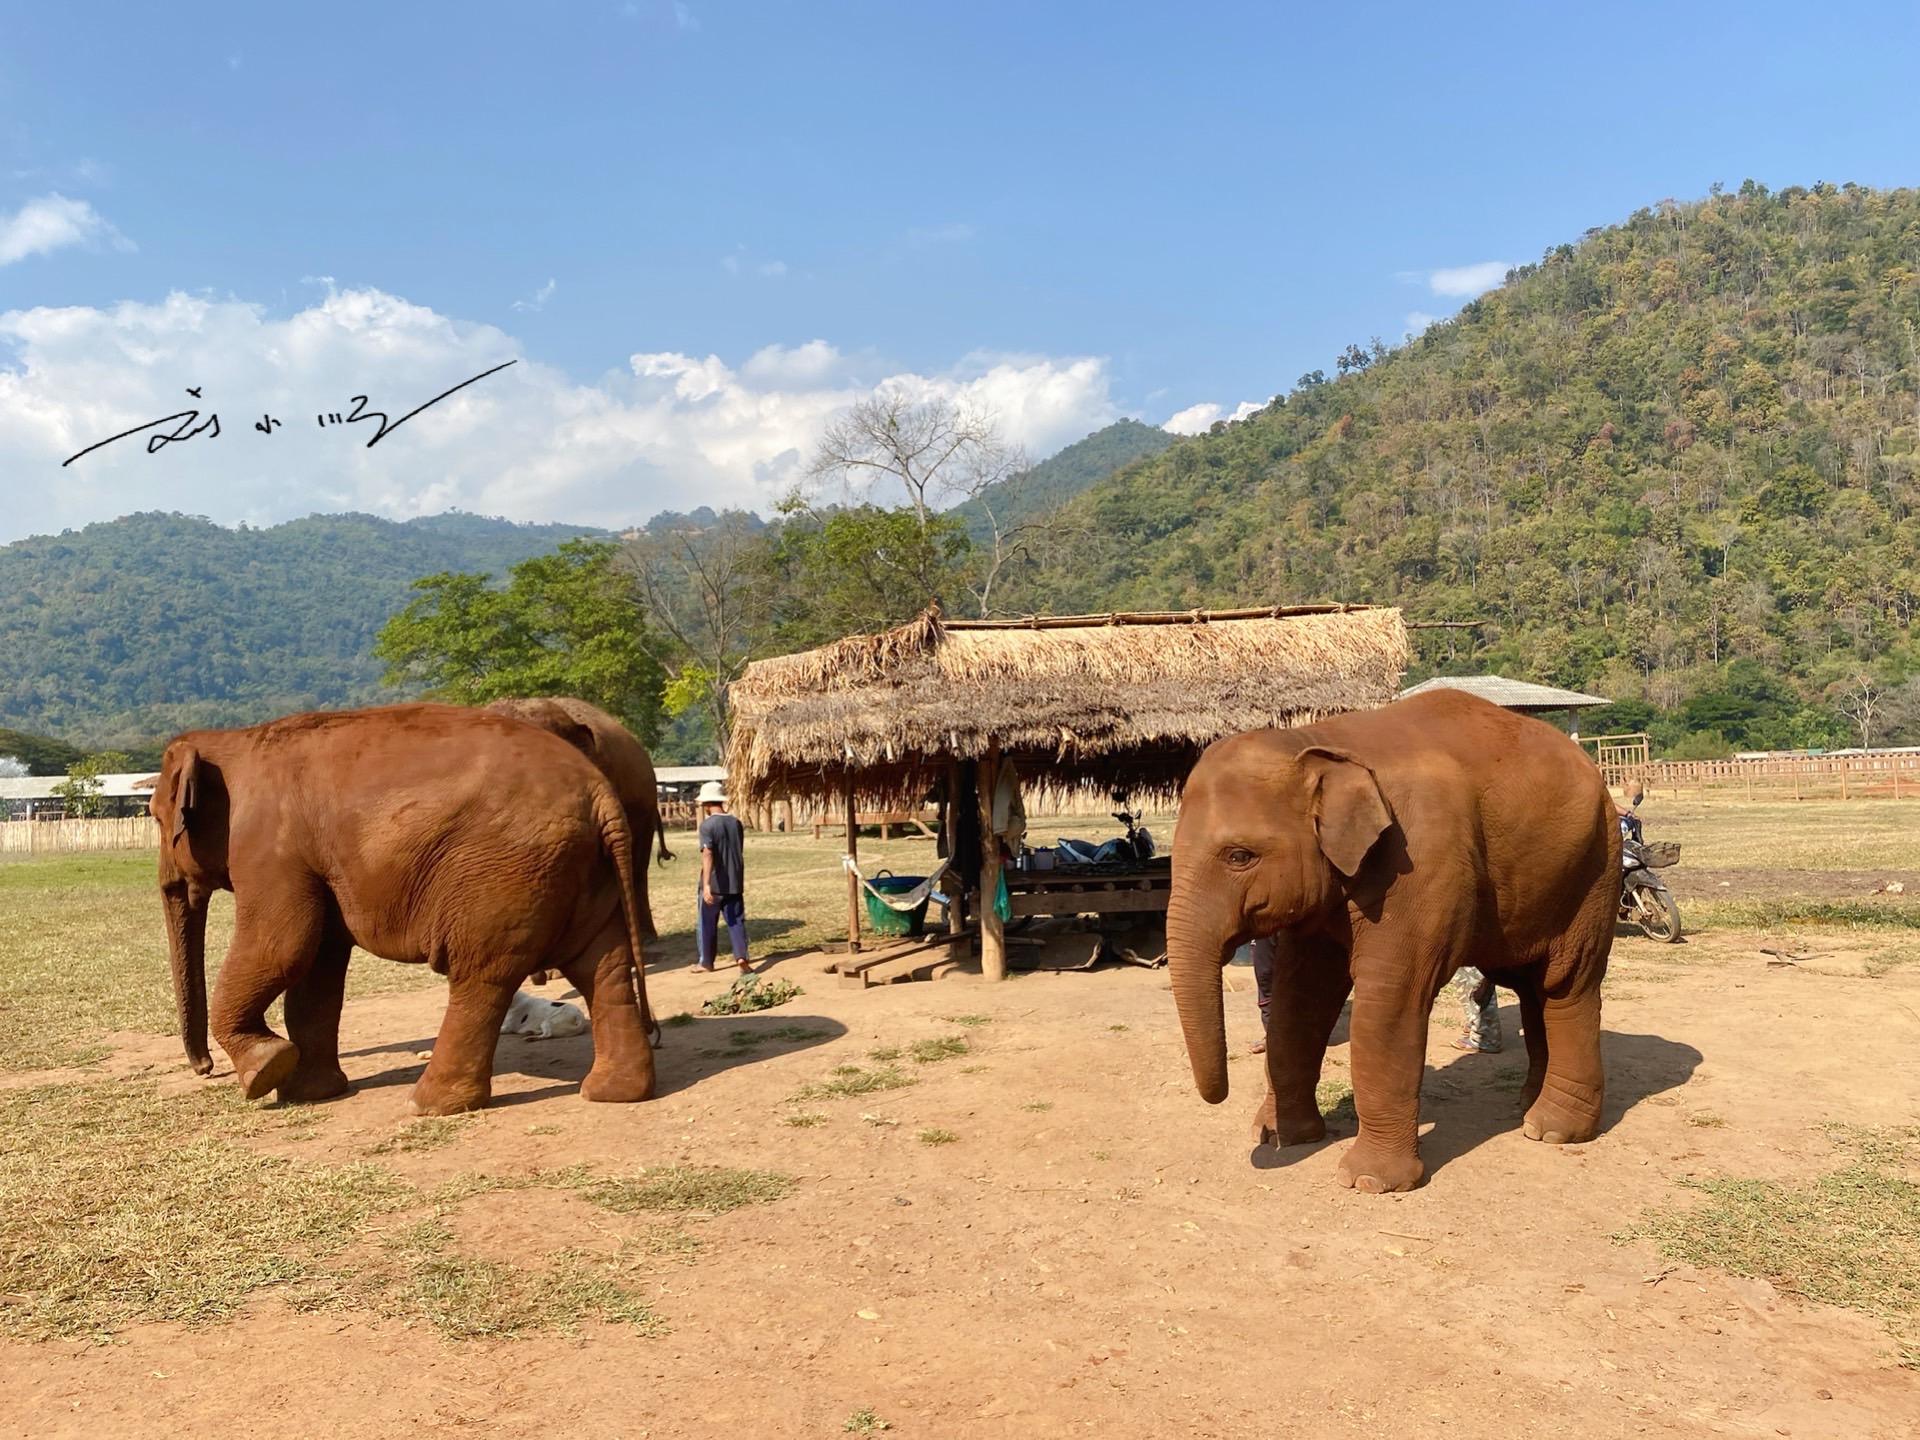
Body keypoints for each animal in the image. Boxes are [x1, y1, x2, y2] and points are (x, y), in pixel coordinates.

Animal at [151, 706, 660, 1121]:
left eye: (156, 817)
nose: (205, 1070)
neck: (233, 739)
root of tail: (600, 793)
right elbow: (318, 966)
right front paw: (308, 1092)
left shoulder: (269, 850)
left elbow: (283, 947)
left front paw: (265, 1071)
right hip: (579, 870)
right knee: (602, 965)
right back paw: (613, 1093)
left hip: (503, 877)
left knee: (480, 976)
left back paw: (427, 1105)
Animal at [1167, 687, 1620, 1198]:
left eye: (1239, 856)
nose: (1218, 1096)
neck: (1317, 739)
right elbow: (1300, 997)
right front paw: (1281, 1136)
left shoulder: (1419, 858)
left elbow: (1390, 998)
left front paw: (1369, 1181)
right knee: (1531, 987)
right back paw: (1526, 1106)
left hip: (1595, 869)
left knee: (1566, 984)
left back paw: (1553, 1130)